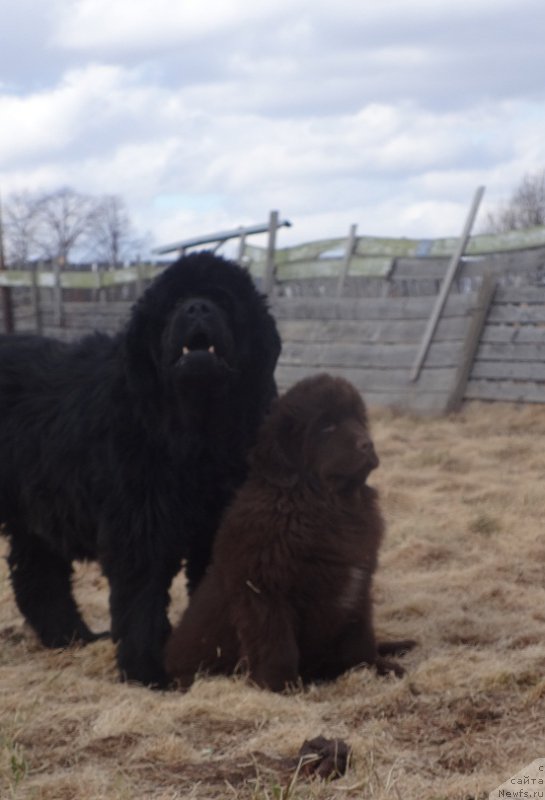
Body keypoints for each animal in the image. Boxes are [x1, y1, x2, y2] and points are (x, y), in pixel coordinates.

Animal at [0, 255, 280, 688]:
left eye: (221, 299)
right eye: (175, 302)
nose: (197, 308)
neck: (195, 434)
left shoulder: (217, 524)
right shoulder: (139, 527)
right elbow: (141, 601)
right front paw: (149, 671)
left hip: (36, 511)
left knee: (37, 576)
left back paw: (73, 637)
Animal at [166, 372, 412, 692]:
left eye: (358, 419)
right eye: (327, 426)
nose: (367, 445)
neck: (324, 505)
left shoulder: (357, 588)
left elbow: (360, 638)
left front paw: (376, 668)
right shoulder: (265, 592)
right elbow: (277, 644)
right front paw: (281, 687)